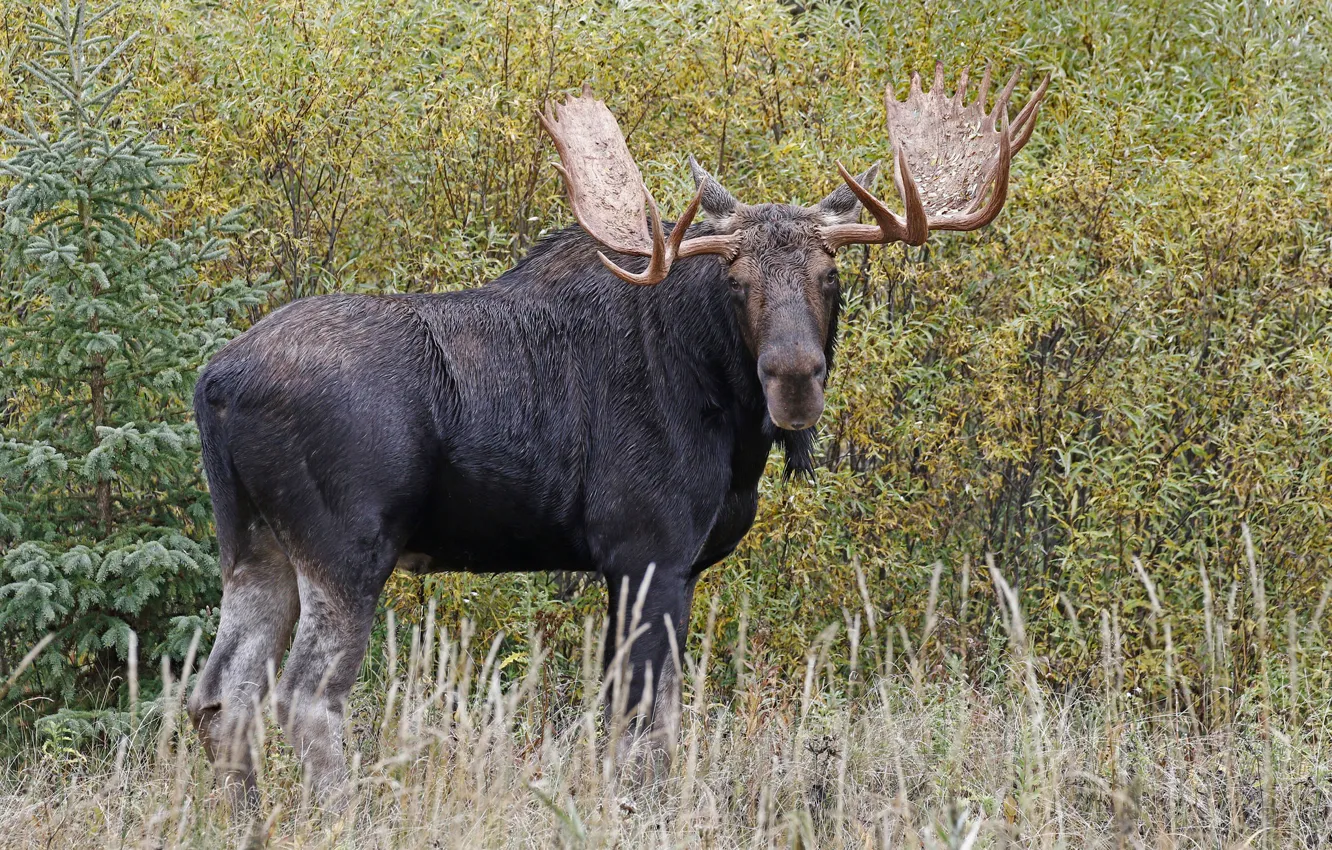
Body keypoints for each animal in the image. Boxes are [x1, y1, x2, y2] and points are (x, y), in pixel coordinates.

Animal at [185, 63, 1049, 804]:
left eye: (830, 276)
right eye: (736, 278)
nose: (794, 376)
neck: (726, 421)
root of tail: (216, 383)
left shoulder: (670, 568)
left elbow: (645, 719)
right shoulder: (645, 550)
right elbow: (641, 727)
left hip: (254, 545)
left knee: (220, 696)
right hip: (346, 548)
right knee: (304, 698)